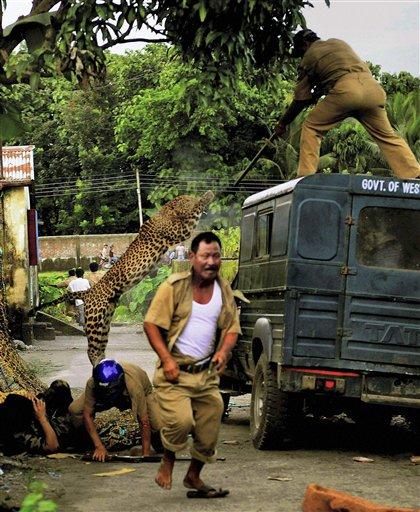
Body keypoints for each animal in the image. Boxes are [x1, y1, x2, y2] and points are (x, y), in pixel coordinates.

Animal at [30, 191, 213, 364]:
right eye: (187, 199)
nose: (193, 197)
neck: (167, 213)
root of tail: (88, 292)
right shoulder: (180, 231)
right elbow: (194, 212)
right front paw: (207, 195)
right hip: (95, 321)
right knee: (91, 349)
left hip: (104, 322)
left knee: (98, 347)